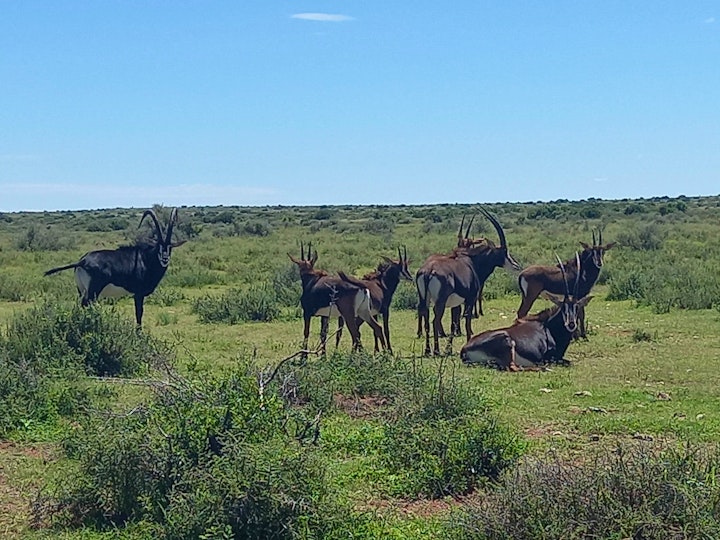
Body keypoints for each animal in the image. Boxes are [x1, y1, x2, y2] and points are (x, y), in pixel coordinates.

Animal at [44, 206, 186, 324]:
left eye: (170, 247)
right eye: (158, 246)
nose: (165, 258)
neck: (146, 259)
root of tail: (82, 261)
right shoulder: (138, 294)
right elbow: (139, 314)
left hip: (81, 291)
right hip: (93, 292)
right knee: (87, 304)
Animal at [414, 209, 520, 356]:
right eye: (504, 251)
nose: (516, 266)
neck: (472, 262)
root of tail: (429, 270)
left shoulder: (455, 304)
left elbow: (453, 324)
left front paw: (449, 349)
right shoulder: (470, 298)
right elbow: (467, 321)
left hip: (424, 298)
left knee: (425, 317)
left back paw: (428, 350)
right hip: (440, 301)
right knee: (435, 320)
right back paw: (436, 350)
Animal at [462, 253, 592, 372]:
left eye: (577, 307)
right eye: (563, 307)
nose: (571, 324)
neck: (549, 327)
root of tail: (464, 350)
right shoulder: (551, 357)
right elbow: (568, 362)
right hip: (507, 342)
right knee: (513, 367)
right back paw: (543, 368)